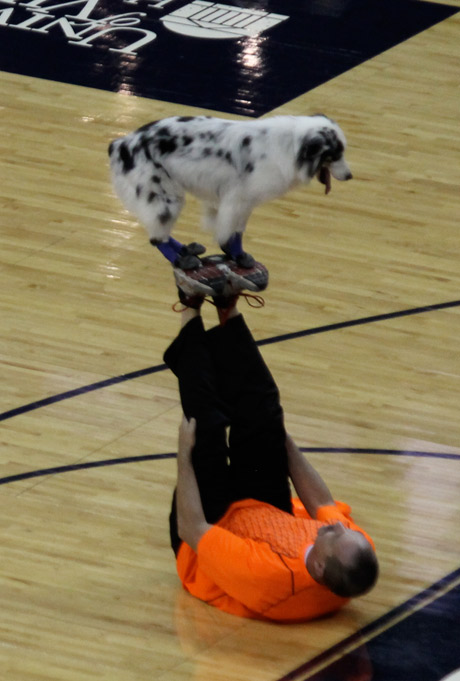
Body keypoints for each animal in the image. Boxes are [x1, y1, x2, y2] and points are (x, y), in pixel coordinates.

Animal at [108, 114, 352, 268]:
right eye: (334, 155)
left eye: (342, 152)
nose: (350, 176)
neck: (290, 146)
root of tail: (120, 144)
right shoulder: (239, 200)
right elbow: (232, 233)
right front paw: (237, 255)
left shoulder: (234, 201)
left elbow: (234, 231)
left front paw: (235, 254)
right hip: (166, 199)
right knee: (157, 238)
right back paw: (181, 261)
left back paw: (187, 250)